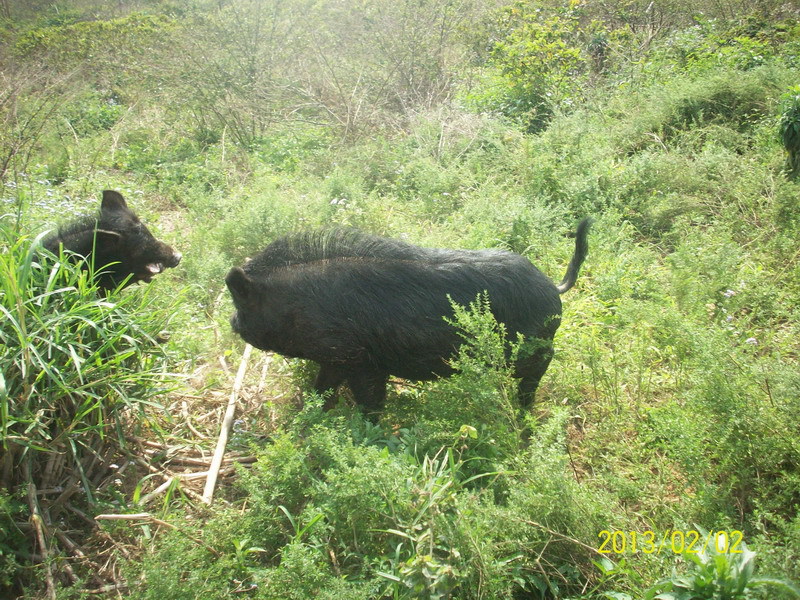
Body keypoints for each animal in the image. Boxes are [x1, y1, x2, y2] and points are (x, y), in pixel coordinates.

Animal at [228, 220, 592, 412]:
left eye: (243, 304)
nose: (232, 322)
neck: (302, 304)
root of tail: (552, 288)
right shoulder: (335, 360)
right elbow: (322, 392)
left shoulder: (363, 361)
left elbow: (370, 402)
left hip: (535, 351)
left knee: (534, 377)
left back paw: (523, 413)